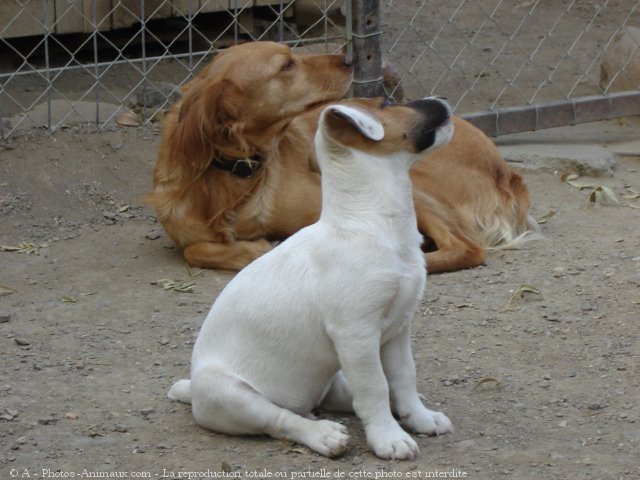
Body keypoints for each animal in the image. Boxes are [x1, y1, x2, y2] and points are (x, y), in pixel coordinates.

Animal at [144, 40, 536, 274]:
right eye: (286, 65)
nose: (349, 58)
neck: (234, 177)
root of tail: (506, 172)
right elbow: (196, 249)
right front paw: (253, 248)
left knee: (465, 248)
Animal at [168, 95, 452, 460]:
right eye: (388, 103)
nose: (442, 100)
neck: (371, 224)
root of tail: (193, 393)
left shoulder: (398, 328)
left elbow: (403, 377)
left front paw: (419, 418)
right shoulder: (356, 334)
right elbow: (374, 387)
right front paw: (388, 438)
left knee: (344, 398)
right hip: (229, 392)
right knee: (281, 419)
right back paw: (323, 434)